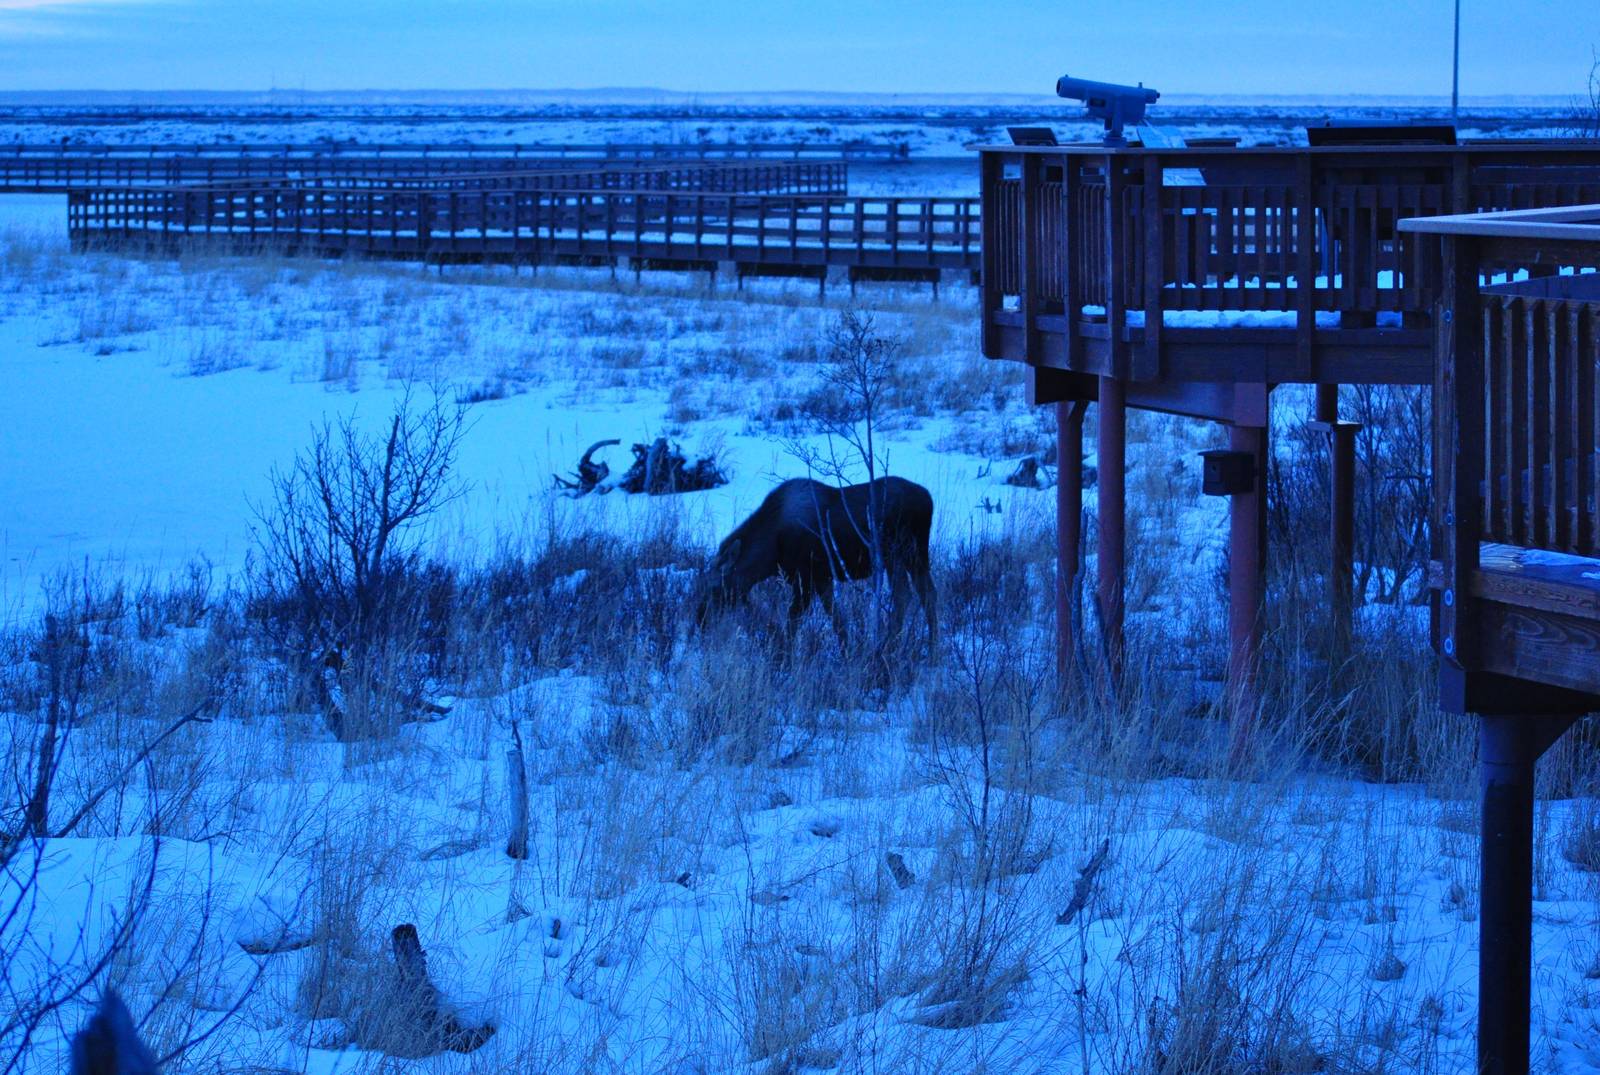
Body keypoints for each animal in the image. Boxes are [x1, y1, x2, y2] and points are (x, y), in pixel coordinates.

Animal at [693, 476, 937, 651]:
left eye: (714, 588)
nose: (700, 621)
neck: (770, 554)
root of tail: (928, 499)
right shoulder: (821, 578)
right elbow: (836, 619)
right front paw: (848, 651)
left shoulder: (805, 579)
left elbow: (792, 622)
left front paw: (784, 658)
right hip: (916, 555)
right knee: (927, 593)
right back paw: (932, 650)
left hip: (894, 553)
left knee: (903, 595)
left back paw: (889, 646)